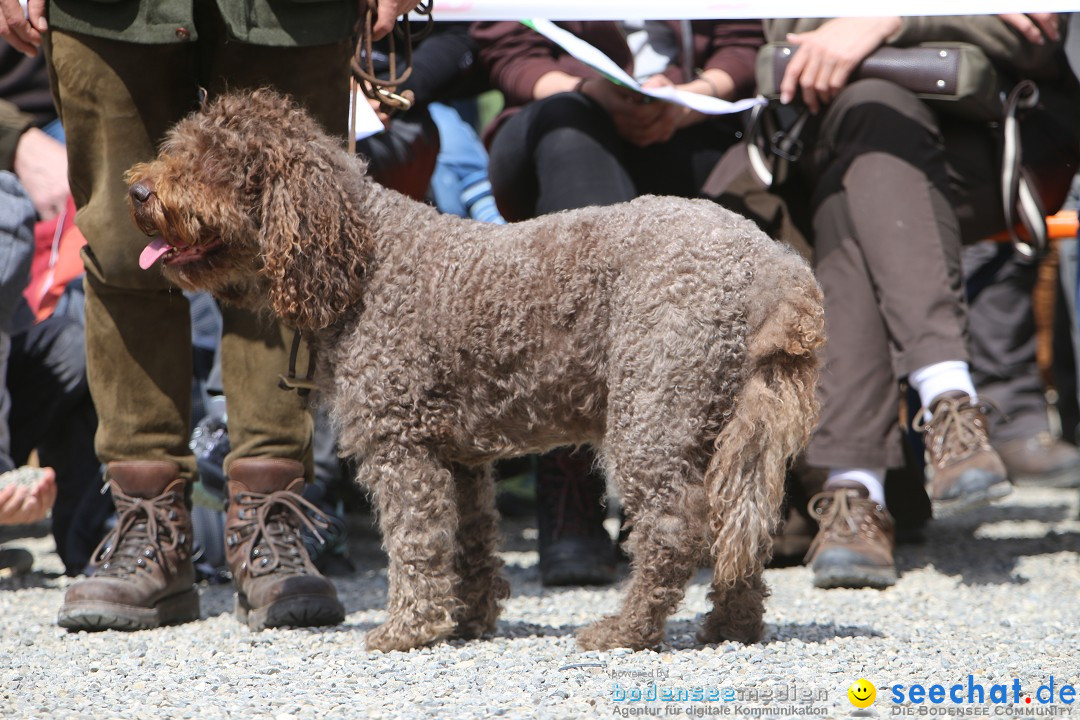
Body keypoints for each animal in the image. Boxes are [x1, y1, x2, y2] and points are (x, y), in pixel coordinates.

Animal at [122, 90, 820, 651]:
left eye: (214, 162)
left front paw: (408, 629)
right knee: (741, 523)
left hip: (655, 411)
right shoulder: (456, 455)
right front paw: (466, 622)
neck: (361, 256)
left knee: (675, 531)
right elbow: (470, 542)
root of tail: (774, 263)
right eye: (177, 148)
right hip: (728, 421)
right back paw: (730, 627)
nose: (138, 192)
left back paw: (625, 630)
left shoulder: (400, 444)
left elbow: (416, 541)